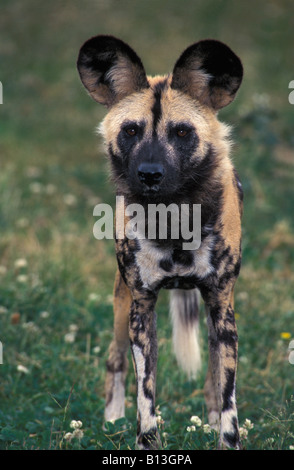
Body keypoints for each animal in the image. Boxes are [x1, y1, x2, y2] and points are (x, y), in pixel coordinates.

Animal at [76, 35, 243, 448]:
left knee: (213, 378)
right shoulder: (141, 310)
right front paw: (145, 441)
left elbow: (227, 397)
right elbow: (145, 396)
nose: (149, 174)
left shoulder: (222, 308)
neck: (174, 219)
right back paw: (112, 419)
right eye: (131, 131)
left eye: (182, 133)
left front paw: (225, 435)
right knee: (115, 359)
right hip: (121, 308)